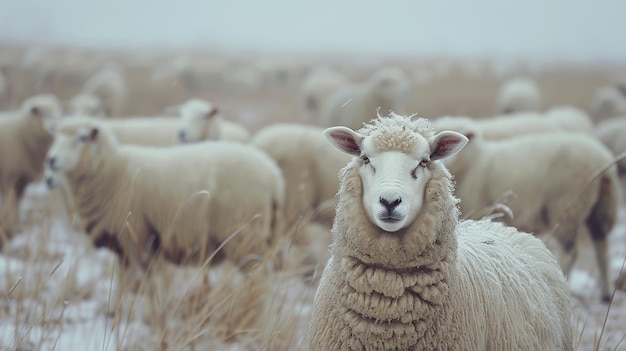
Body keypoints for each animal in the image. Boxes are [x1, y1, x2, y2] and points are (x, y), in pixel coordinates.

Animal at [0, 94, 62, 236]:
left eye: (57, 111)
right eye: (41, 112)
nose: (55, 125)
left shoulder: (24, 178)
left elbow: (17, 201)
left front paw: (16, 227)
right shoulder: (7, 176)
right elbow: (5, 202)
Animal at [434, 117, 620, 302]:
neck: (474, 162)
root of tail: (603, 162)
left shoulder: (481, 208)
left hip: (568, 205)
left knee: (571, 252)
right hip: (598, 207)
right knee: (602, 246)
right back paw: (606, 293)